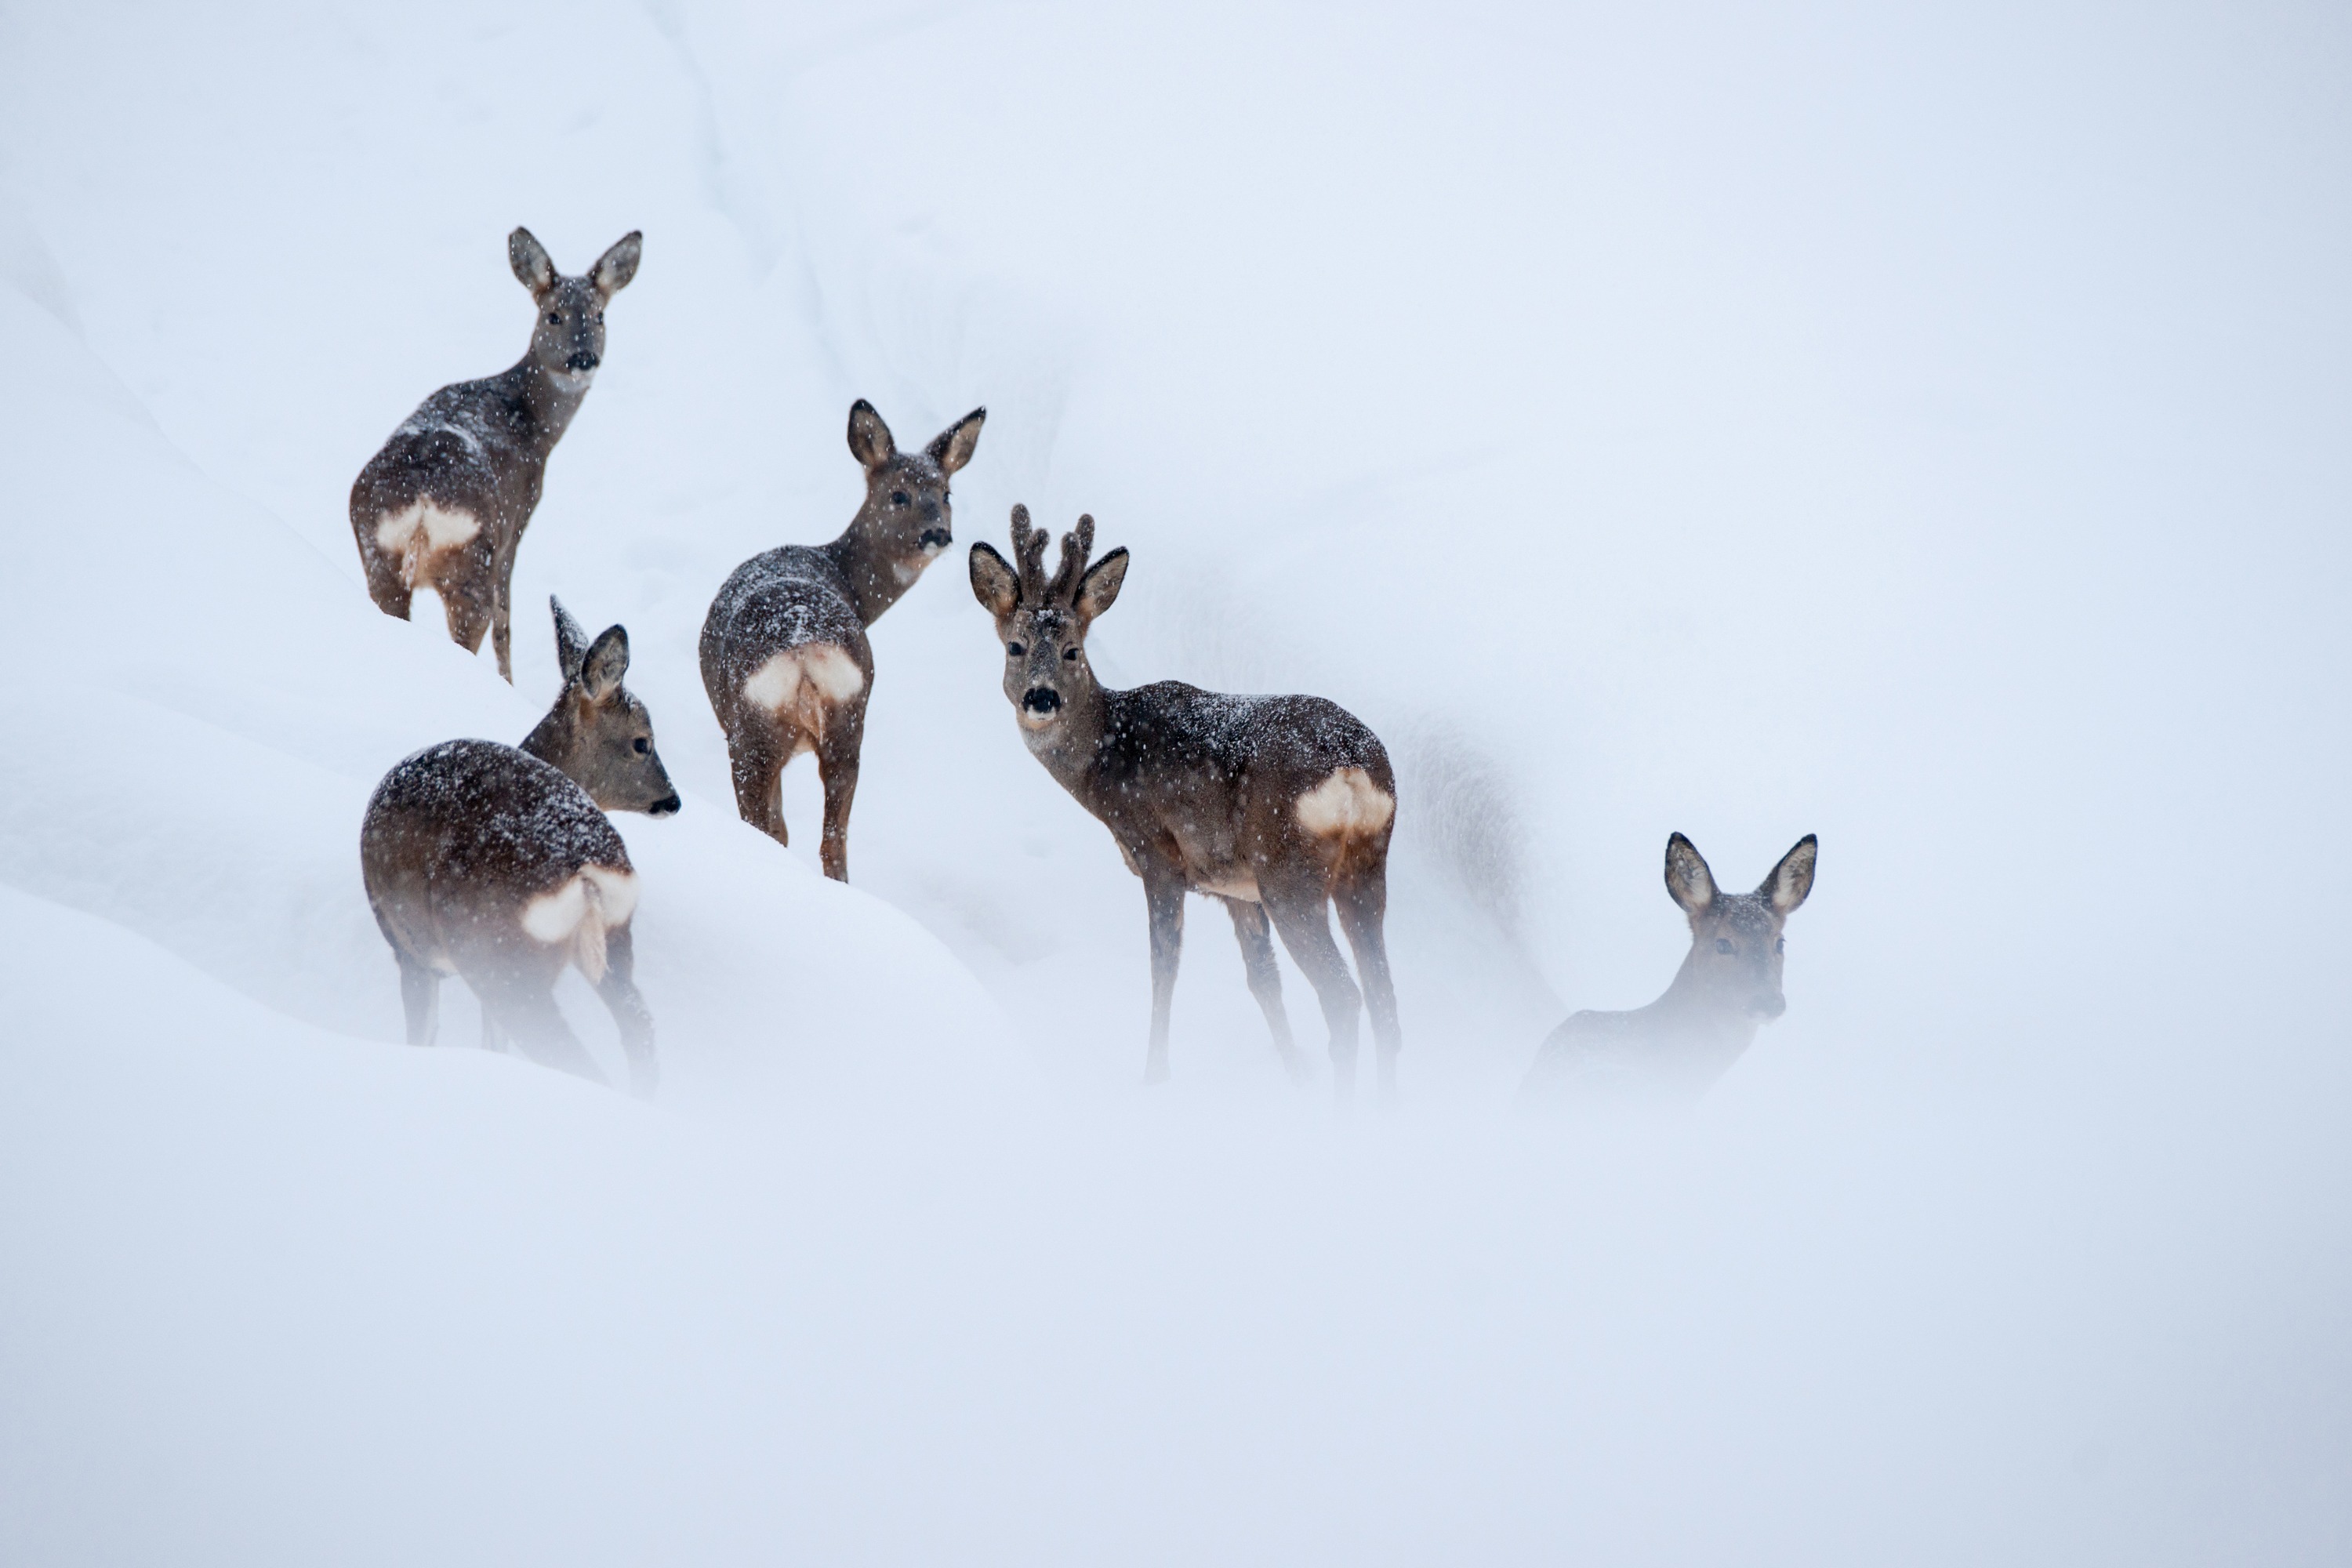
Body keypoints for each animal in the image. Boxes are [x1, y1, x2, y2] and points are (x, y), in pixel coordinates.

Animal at [348, 227, 644, 681]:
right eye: (553, 315)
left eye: (599, 316)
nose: (583, 358)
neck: (532, 423)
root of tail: (422, 500)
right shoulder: (518, 519)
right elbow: (507, 624)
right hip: (474, 557)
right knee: (482, 623)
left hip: (377, 553)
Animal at [360, 594, 682, 1100]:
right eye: (641, 743)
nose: (673, 800)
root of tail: (582, 865)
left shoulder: (409, 951)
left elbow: (426, 1036)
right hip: (615, 937)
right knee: (640, 1029)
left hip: (499, 956)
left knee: (571, 1055)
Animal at [701, 399, 988, 884]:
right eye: (899, 495)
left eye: (946, 494)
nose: (938, 534)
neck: (847, 580)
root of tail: (801, 646)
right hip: (848, 721)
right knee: (833, 839)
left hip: (751, 732)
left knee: (772, 828)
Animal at [969, 510, 1402, 1100]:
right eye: (1014, 647)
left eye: (1072, 651)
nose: (1041, 698)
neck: (1106, 759)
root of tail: (1352, 768)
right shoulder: (1234, 887)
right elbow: (1262, 980)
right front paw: (1294, 1070)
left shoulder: (1159, 856)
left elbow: (1164, 968)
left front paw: (1154, 1074)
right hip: (1366, 867)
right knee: (1384, 1000)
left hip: (1289, 873)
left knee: (1343, 996)